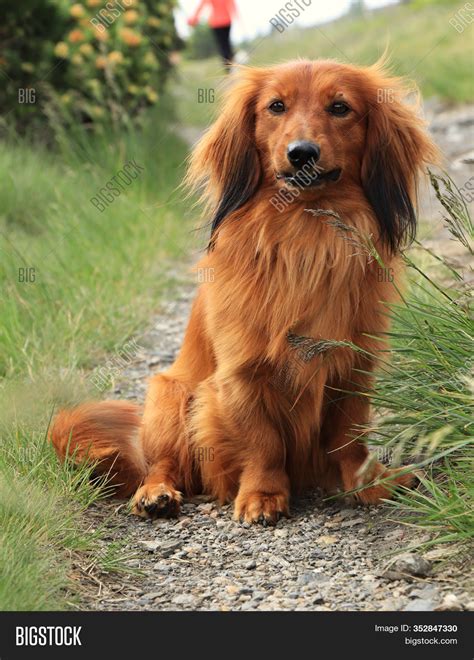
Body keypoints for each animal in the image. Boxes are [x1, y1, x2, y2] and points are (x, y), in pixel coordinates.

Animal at [50, 62, 438, 524]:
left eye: (340, 107)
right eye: (276, 106)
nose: (302, 152)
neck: (303, 236)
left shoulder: (353, 367)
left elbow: (349, 438)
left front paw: (370, 483)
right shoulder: (241, 374)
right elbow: (261, 442)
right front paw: (263, 494)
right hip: (168, 394)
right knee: (161, 464)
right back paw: (155, 493)